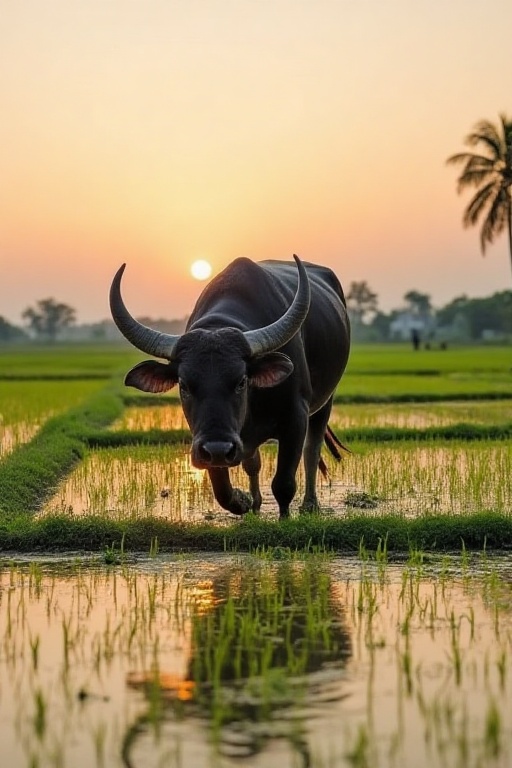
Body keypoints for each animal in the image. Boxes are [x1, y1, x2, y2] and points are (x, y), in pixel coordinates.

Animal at [110, 255, 350, 518]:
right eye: (183, 385)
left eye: (241, 381)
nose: (218, 448)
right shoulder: (206, 439)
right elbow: (221, 490)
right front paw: (243, 500)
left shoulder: (295, 417)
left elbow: (283, 483)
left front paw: (284, 518)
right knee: (253, 462)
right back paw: (256, 504)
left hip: (325, 402)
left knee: (312, 449)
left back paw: (310, 505)